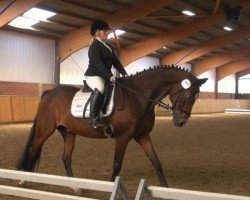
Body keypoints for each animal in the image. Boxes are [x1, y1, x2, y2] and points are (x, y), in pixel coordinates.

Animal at [16, 65, 207, 188]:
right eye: (189, 95)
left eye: (196, 97)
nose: (180, 122)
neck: (138, 97)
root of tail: (49, 93)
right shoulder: (123, 137)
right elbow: (116, 165)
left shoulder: (142, 136)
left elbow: (156, 161)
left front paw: (165, 188)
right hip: (44, 130)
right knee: (33, 151)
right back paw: (23, 181)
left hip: (69, 132)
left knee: (66, 158)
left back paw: (76, 187)